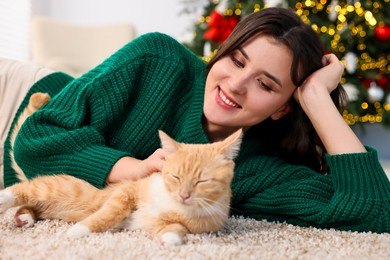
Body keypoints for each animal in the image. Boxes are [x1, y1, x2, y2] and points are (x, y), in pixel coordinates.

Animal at [0, 93, 242, 246]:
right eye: (176, 176)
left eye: (202, 181)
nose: (184, 195)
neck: (175, 205)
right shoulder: (126, 192)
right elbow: (108, 213)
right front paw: (79, 230)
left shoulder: (181, 224)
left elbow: (177, 228)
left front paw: (170, 239)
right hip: (55, 188)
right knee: (25, 189)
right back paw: (5, 199)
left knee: (32, 205)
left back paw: (25, 217)